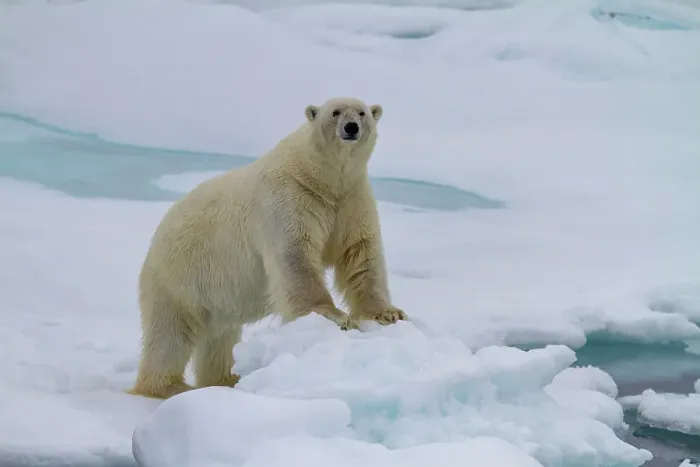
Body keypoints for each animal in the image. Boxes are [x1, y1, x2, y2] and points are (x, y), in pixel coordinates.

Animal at [127, 97, 408, 400]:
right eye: (335, 112)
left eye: (362, 112)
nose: (351, 127)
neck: (322, 177)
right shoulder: (289, 199)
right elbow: (295, 256)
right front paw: (334, 315)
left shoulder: (351, 200)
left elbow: (361, 254)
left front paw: (388, 313)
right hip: (177, 279)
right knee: (170, 336)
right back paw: (170, 386)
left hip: (212, 295)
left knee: (219, 337)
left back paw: (225, 379)